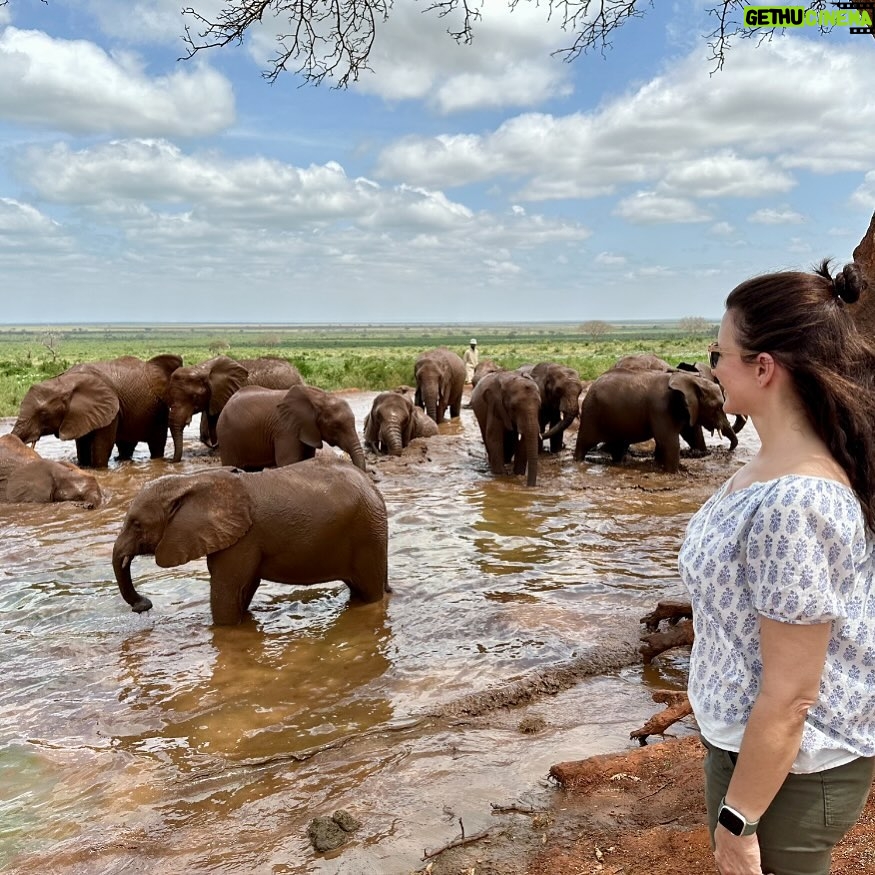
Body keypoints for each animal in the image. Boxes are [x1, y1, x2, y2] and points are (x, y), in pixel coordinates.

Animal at [12, 352, 183, 468]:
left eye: (43, 413)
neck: (64, 382)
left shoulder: (110, 409)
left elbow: (102, 446)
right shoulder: (79, 415)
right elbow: (82, 446)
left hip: (158, 411)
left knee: (156, 444)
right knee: (125, 446)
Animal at [113, 456, 390, 628]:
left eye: (137, 524)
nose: (144, 605)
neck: (190, 480)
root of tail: (372, 486)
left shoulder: (243, 540)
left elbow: (227, 596)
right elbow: (242, 591)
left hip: (367, 534)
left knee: (370, 593)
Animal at [219, 386, 370, 472]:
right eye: (336, 426)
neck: (319, 398)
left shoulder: (307, 429)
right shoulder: (285, 429)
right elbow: (289, 462)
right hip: (228, 438)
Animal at [580, 368, 736, 476]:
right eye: (716, 407)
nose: (727, 450)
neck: (689, 379)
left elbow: (690, 435)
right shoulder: (660, 408)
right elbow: (668, 442)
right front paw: (674, 473)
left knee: (619, 445)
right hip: (591, 412)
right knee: (585, 443)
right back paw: (579, 461)